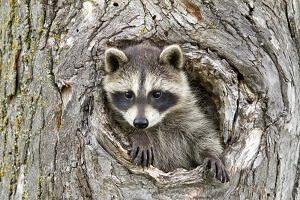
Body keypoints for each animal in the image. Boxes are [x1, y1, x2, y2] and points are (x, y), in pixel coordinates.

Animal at [102, 43, 229, 182]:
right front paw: (139, 134)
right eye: (128, 94)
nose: (140, 123)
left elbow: (203, 133)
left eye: (157, 94)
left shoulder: (189, 111)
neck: (159, 121)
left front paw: (212, 155)